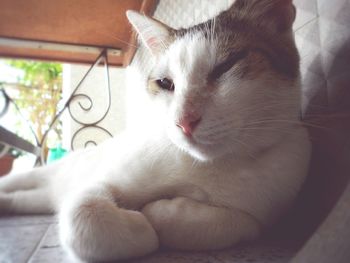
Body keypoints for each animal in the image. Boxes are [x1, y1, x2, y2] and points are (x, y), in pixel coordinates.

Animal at [0, 0, 312, 262]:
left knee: (26, 199)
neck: (203, 167)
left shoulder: (270, 200)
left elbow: (239, 223)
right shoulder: (100, 182)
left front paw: (162, 213)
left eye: (225, 67)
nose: (184, 121)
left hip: (41, 197)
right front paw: (140, 229)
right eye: (164, 83)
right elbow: (85, 214)